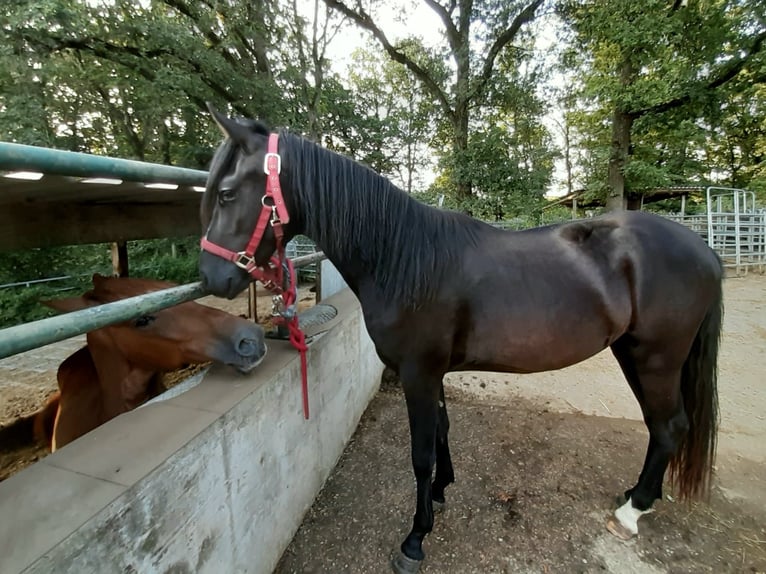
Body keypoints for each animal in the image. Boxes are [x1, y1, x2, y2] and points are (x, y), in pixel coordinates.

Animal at [197, 107, 723, 574]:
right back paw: (636, 498)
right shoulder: (433, 372)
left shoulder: (418, 373)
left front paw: (414, 539)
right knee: (660, 426)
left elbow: (421, 454)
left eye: (226, 193)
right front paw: (441, 493)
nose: (211, 277)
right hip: (632, 353)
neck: (402, 258)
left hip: (656, 358)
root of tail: (703, 248)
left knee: (670, 426)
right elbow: (443, 434)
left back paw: (632, 512)